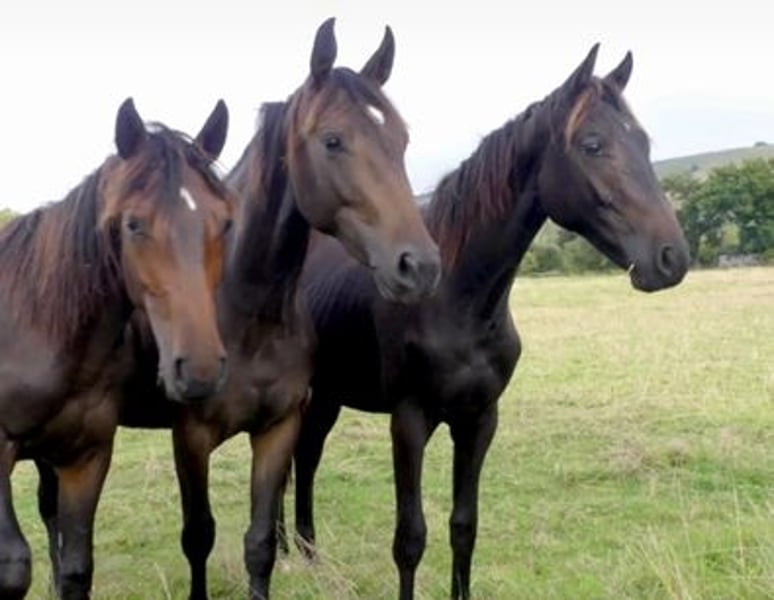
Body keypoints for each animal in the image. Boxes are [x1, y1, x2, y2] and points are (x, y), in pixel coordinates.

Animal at [0, 98, 234, 599]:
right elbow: (12, 567)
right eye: (133, 224)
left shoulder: (86, 457)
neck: (36, 327)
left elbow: (76, 568)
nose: (200, 369)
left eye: (225, 222)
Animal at [97, 18, 440, 600]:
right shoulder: (191, 438)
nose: (419, 265)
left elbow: (257, 543)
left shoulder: (278, 426)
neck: (245, 313)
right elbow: (198, 537)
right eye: (332, 140)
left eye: (402, 140)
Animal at [289, 45, 691, 600]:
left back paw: (306, 555)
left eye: (644, 143)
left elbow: (464, 526)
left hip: (327, 393)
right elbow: (409, 538)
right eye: (592, 144)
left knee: (304, 457)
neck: (458, 300)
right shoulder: (409, 420)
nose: (672, 258)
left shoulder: (480, 419)